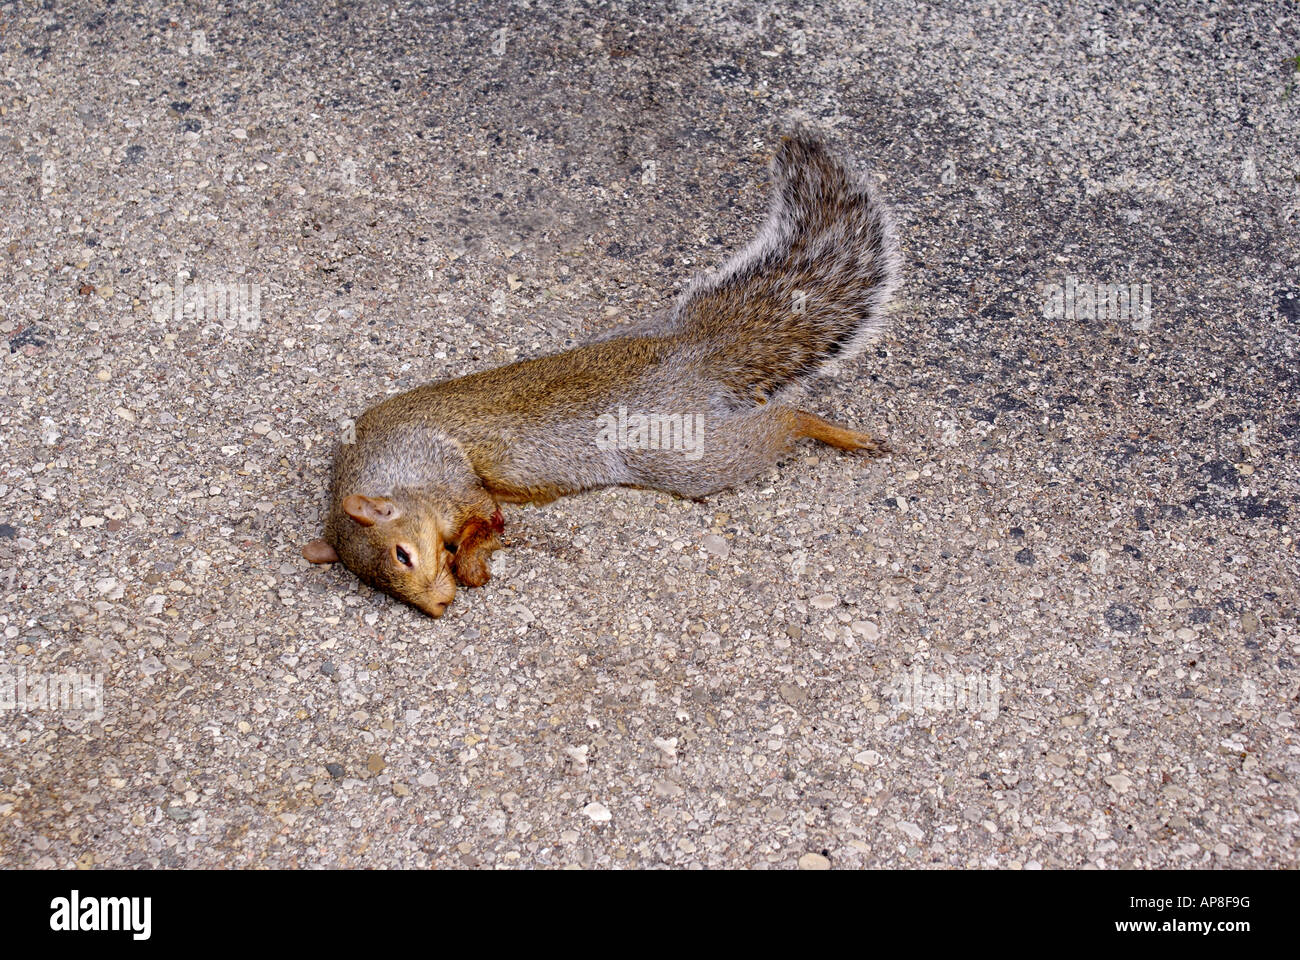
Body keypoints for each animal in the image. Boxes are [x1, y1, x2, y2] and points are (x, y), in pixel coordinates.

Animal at [303, 131, 900, 618]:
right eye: (378, 585)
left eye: (403, 554)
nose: (437, 608)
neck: (385, 470)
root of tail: (692, 354)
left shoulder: (449, 476)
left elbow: (485, 517)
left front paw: (472, 563)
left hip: (682, 452)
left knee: (785, 421)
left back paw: (838, 433)